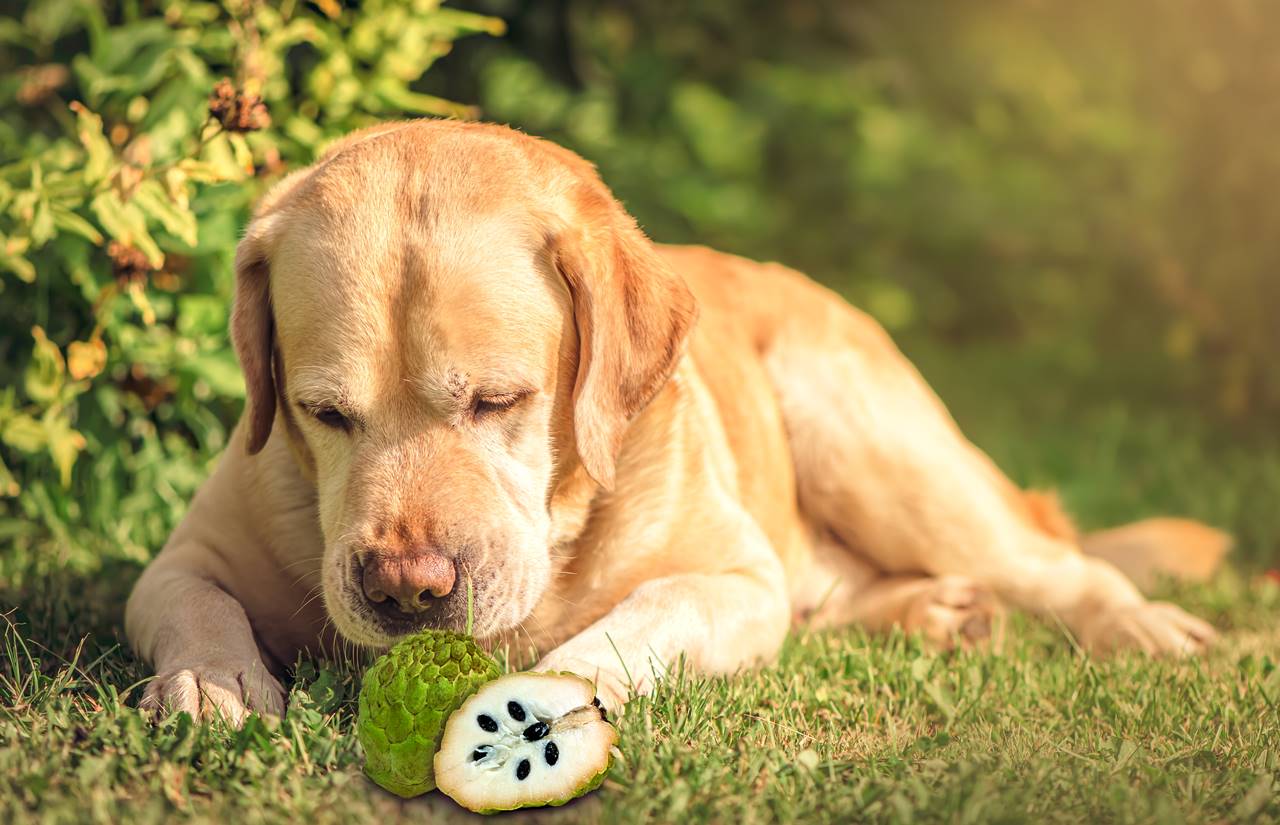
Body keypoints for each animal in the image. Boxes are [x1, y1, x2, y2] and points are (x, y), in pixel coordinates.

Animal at [122, 120, 1228, 721]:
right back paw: (937, 613)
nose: (404, 590)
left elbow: (634, 621)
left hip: (876, 444)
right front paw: (217, 684)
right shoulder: (175, 562)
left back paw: (1137, 624)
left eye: (497, 400)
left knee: (1056, 566)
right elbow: (194, 604)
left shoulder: (731, 581)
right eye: (323, 413)